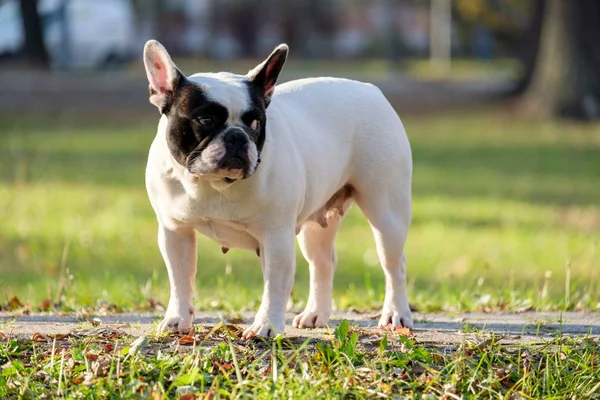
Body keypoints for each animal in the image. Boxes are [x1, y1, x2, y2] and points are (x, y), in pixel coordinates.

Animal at [142, 39, 412, 338]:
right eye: (206, 121)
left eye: (256, 122)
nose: (237, 136)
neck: (213, 185)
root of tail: (370, 90)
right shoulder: (175, 231)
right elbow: (180, 278)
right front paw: (177, 319)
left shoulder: (276, 236)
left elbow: (274, 286)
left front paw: (266, 326)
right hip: (315, 226)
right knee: (323, 263)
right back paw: (315, 315)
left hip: (386, 212)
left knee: (394, 264)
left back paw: (396, 314)